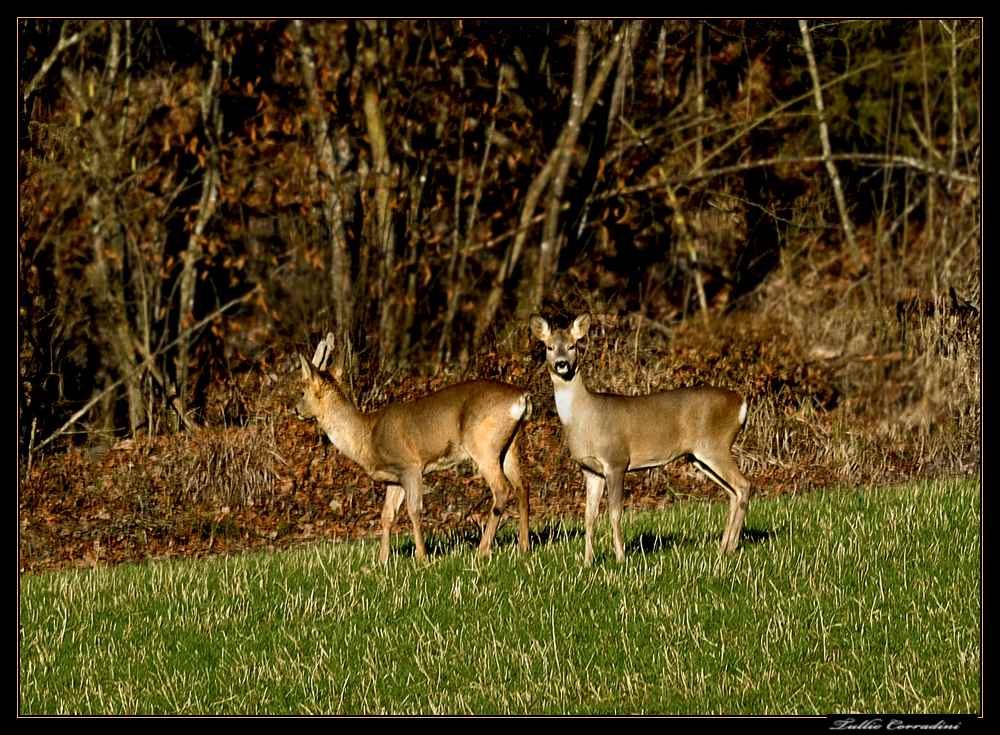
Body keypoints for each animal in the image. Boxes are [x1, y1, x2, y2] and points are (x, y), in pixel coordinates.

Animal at [294, 334, 536, 564]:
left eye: (303, 392)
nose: (295, 409)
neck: (366, 436)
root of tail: (521, 397)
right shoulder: (394, 478)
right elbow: (387, 515)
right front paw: (381, 561)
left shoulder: (410, 466)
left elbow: (414, 510)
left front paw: (421, 557)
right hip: (509, 444)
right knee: (522, 486)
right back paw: (524, 547)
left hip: (483, 445)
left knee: (502, 489)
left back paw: (482, 550)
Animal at [532, 314, 752, 568]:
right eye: (549, 347)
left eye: (572, 346)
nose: (561, 364)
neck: (584, 418)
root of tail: (741, 402)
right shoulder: (591, 470)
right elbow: (589, 516)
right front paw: (587, 562)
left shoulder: (616, 461)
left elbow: (615, 513)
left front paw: (620, 558)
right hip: (699, 457)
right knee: (732, 491)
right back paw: (723, 547)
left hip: (716, 445)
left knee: (744, 485)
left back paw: (732, 548)